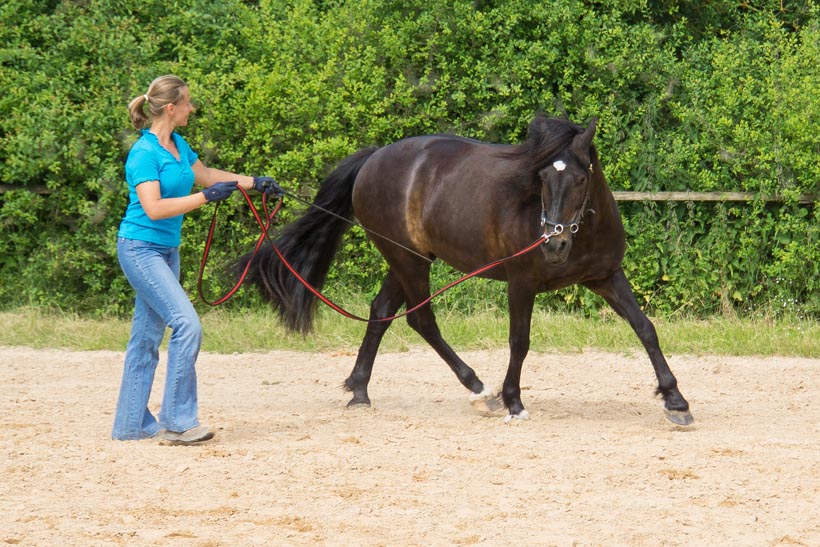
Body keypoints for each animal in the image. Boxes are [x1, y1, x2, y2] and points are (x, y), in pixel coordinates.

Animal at [241, 114, 693, 426]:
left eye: (582, 178)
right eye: (543, 177)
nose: (554, 244)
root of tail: (374, 158)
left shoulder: (606, 277)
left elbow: (645, 328)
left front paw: (676, 401)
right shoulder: (521, 283)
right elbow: (519, 341)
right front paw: (513, 402)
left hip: (407, 258)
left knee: (381, 312)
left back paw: (360, 390)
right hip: (408, 260)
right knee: (421, 320)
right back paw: (480, 390)